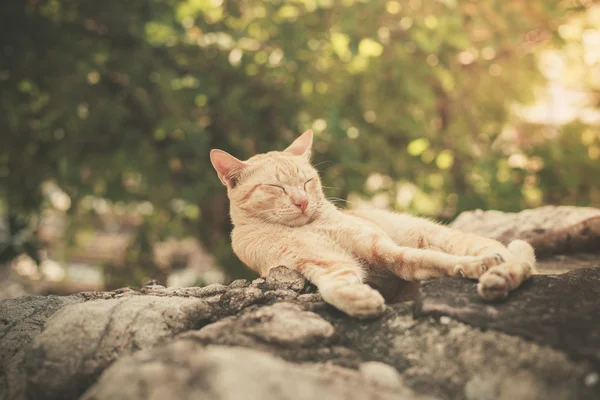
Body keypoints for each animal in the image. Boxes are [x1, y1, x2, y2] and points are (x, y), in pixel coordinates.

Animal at [210, 130, 536, 318]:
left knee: (520, 262)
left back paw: (496, 275)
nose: (302, 202)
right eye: (276, 188)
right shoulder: (324, 264)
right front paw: (358, 300)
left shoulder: (382, 249)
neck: (308, 227)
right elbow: (334, 286)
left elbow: (428, 258)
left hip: (455, 240)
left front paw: (473, 266)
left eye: (307, 182)